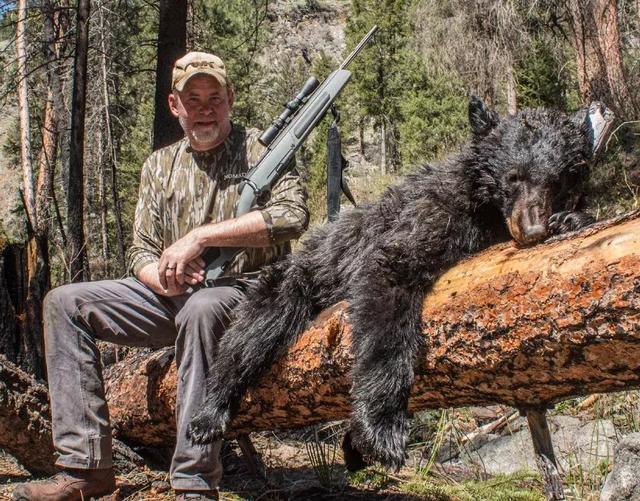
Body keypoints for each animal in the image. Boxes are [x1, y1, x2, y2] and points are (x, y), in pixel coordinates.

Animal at [188, 97, 613, 470]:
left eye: (557, 181)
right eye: (513, 177)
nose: (533, 229)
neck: (487, 212)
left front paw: (571, 220)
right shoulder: (431, 215)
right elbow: (387, 289)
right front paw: (382, 430)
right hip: (293, 282)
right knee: (251, 335)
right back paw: (210, 412)